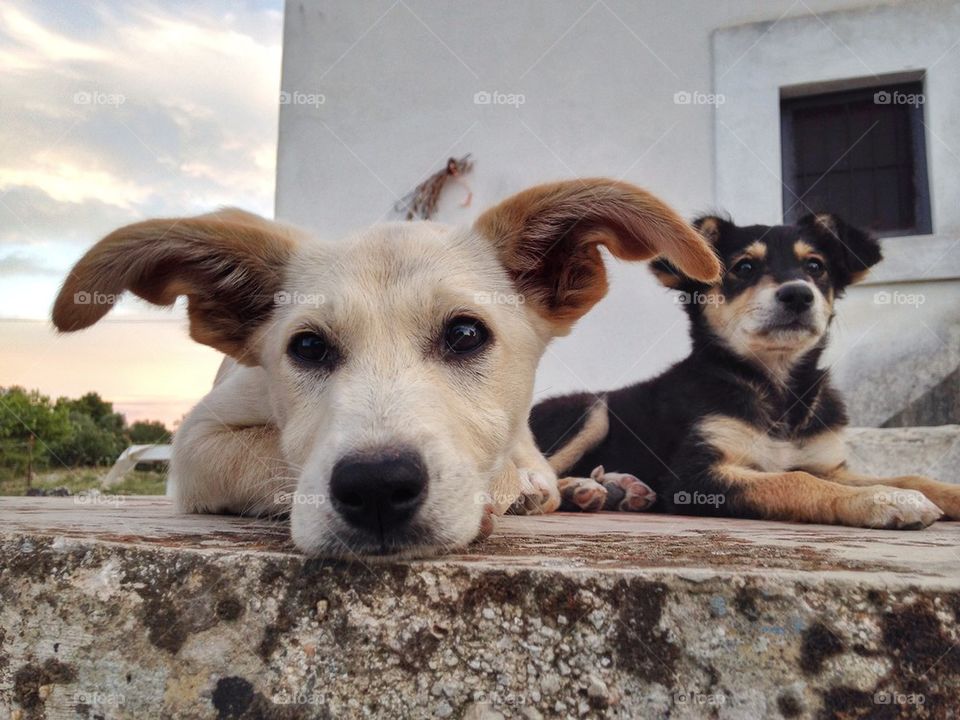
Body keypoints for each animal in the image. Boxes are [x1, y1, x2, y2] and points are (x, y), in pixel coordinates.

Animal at [532, 214, 960, 528]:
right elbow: (794, 480)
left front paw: (927, 492)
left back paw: (618, 488)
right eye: (744, 266)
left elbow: (910, 476)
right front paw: (882, 501)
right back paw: (574, 490)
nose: (797, 294)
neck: (779, 390)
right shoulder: (694, 477)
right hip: (590, 409)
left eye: (815, 266)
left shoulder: (827, 464)